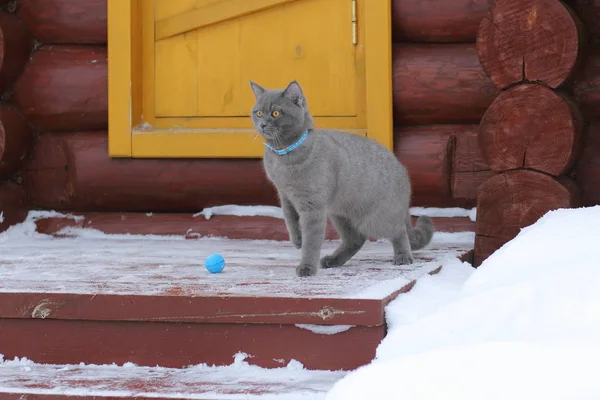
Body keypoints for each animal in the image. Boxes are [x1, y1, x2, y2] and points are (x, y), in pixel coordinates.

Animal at [251, 79, 434, 276]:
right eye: (259, 113)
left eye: (276, 113)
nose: (262, 124)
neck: (283, 156)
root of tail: (401, 168)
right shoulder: (285, 195)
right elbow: (290, 220)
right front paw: (297, 240)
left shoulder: (312, 206)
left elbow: (311, 241)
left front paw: (306, 267)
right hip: (340, 214)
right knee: (356, 239)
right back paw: (332, 260)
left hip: (375, 219)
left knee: (398, 231)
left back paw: (403, 258)